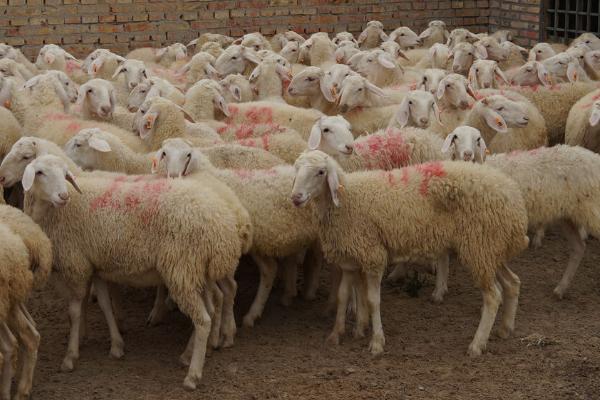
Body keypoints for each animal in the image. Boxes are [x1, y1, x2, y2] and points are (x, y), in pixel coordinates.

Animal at [292, 150, 528, 356]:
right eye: (296, 169)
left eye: (321, 172)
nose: (296, 197)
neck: (347, 200)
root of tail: (513, 195)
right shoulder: (352, 258)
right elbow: (344, 296)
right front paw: (342, 333)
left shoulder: (373, 255)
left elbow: (372, 299)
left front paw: (376, 342)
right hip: (490, 248)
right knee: (513, 282)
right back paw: (505, 329)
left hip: (479, 245)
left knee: (493, 296)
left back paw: (477, 345)